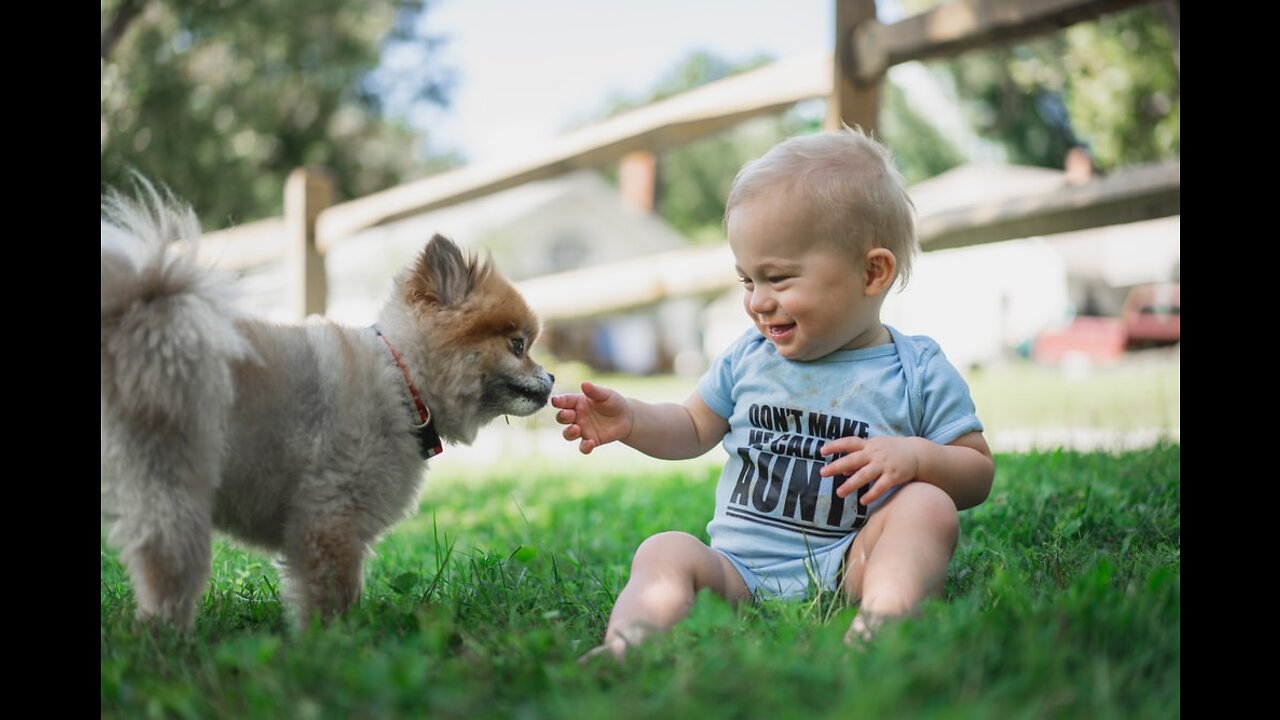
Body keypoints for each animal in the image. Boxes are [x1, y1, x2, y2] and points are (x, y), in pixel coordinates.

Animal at [101, 181, 555, 625]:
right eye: (518, 345)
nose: (552, 377)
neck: (402, 381)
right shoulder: (330, 516)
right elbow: (333, 593)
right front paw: (335, 639)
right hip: (173, 485)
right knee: (169, 570)